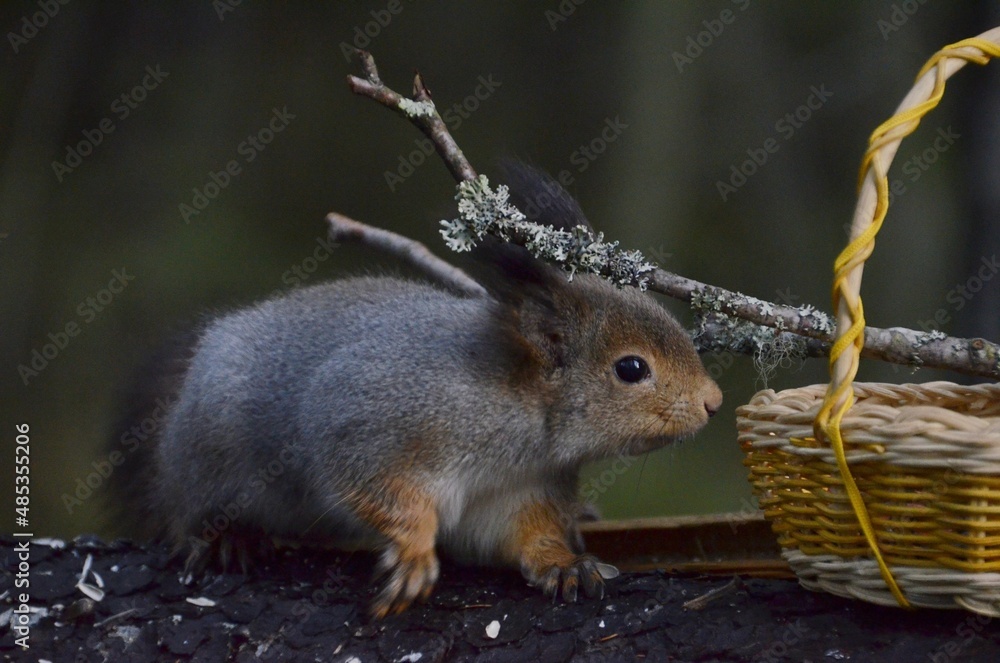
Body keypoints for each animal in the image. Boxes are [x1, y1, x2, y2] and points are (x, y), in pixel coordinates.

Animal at [110, 163, 723, 618]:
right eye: (631, 369)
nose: (713, 402)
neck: (520, 422)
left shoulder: (517, 491)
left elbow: (522, 534)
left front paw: (563, 562)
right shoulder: (371, 421)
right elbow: (374, 487)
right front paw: (413, 553)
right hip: (208, 452)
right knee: (188, 511)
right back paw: (227, 537)